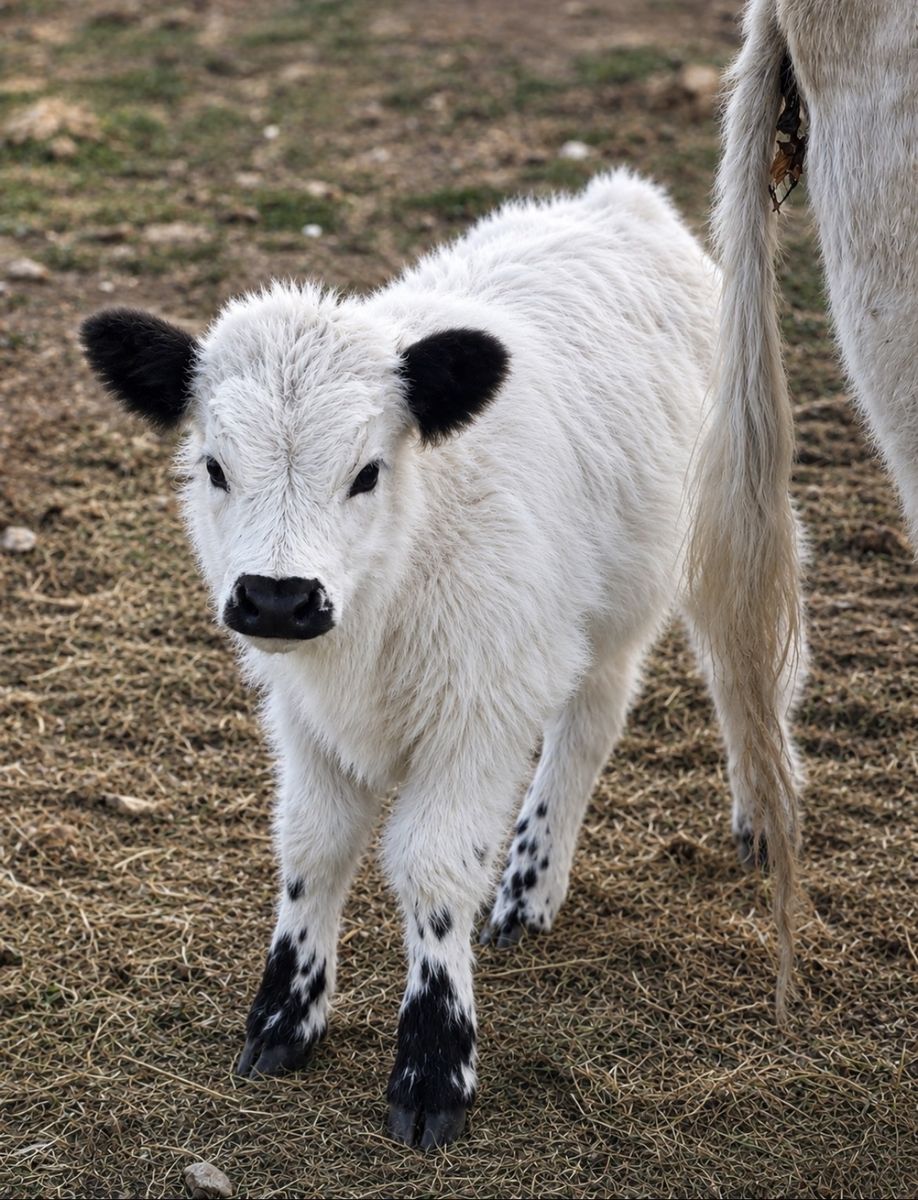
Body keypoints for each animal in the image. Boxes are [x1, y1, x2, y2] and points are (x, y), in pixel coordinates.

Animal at [80, 169, 803, 1150]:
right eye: (213, 466)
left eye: (367, 472)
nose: (277, 597)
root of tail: (619, 200)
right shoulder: (303, 715)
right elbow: (312, 844)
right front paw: (283, 1018)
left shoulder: (481, 710)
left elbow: (431, 866)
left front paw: (433, 1067)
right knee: (598, 704)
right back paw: (534, 885)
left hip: (717, 515)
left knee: (726, 662)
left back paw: (751, 813)